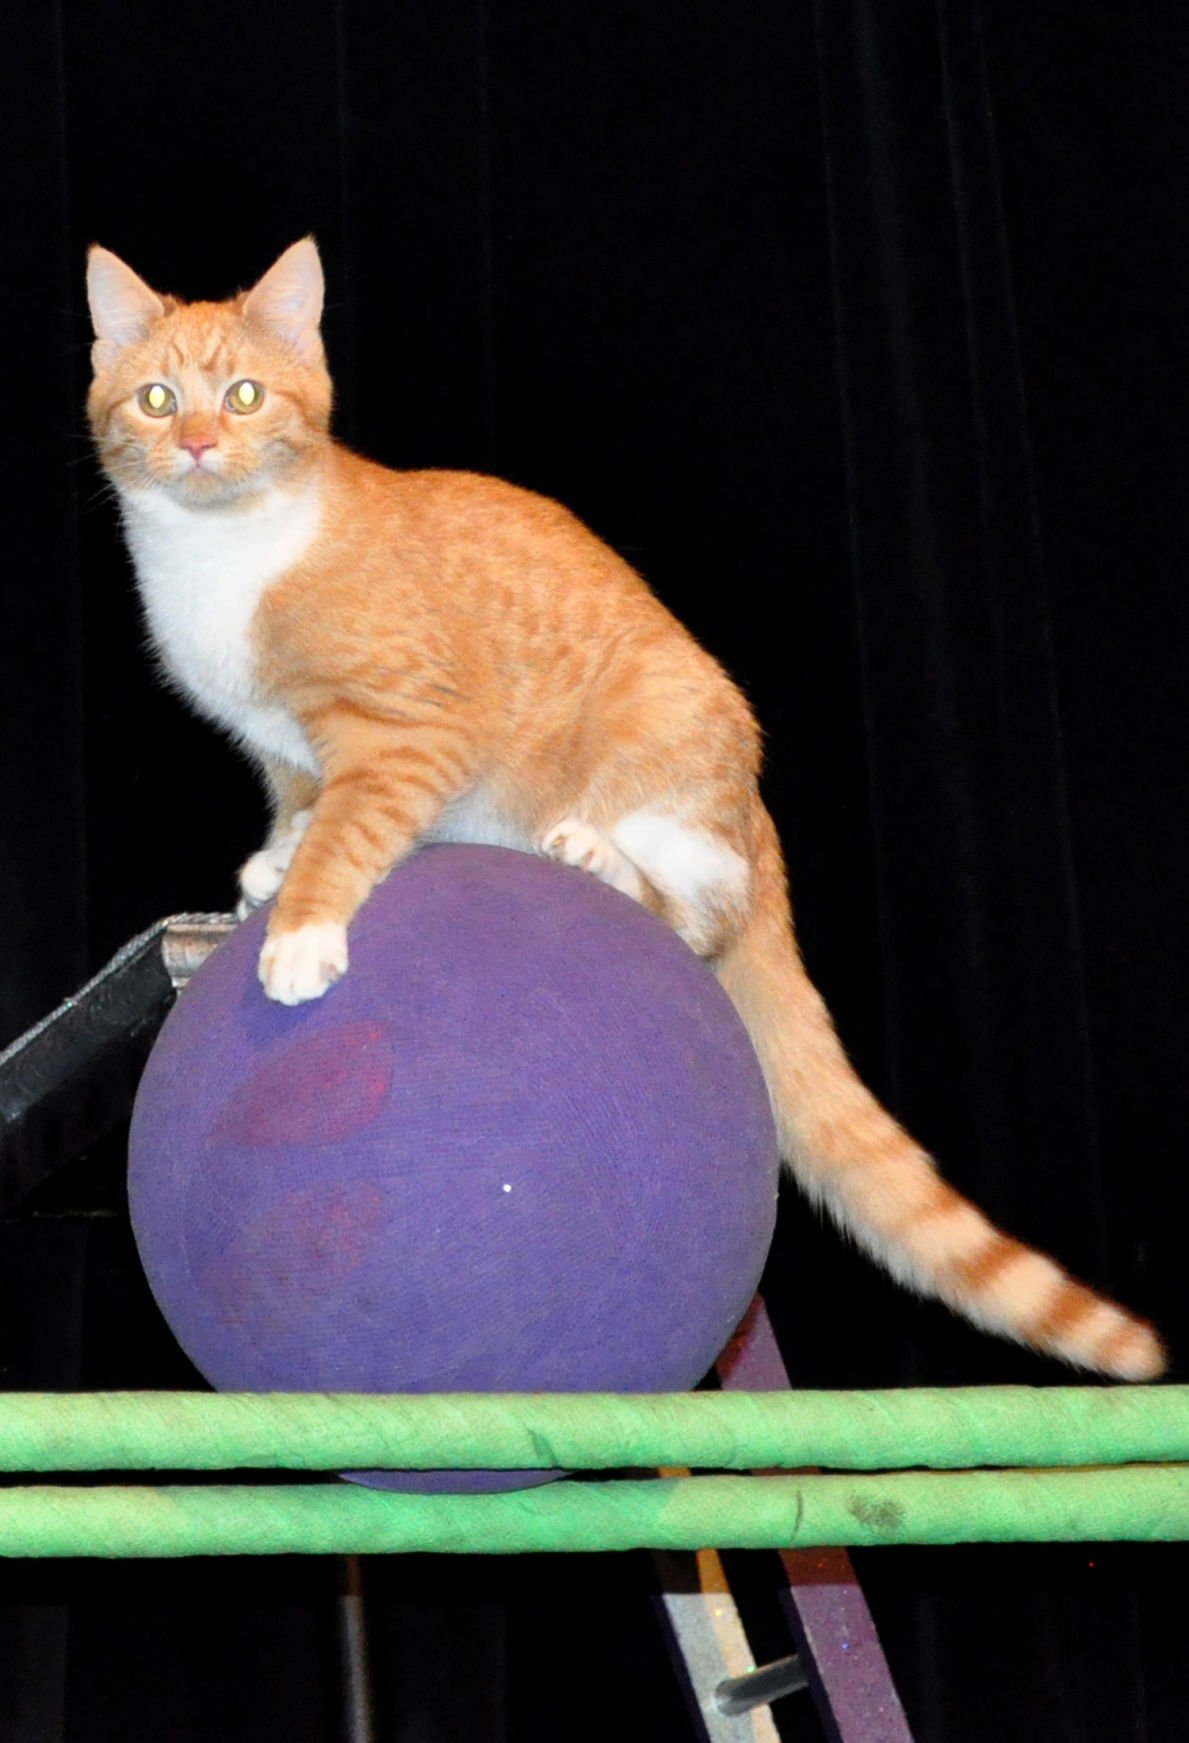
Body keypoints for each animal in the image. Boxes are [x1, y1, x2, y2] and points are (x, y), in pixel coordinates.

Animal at [88, 238, 1164, 1373]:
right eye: (158, 399)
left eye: (244, 395)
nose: (199, 442)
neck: (221, 560)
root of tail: (755, 806)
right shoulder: (280, 750)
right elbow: (300, 808)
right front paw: (273, 862)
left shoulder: (411, 730)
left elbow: (347, 827)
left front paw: (301, 926)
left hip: (662, 755)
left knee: (697, 913)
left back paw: (596, 857)